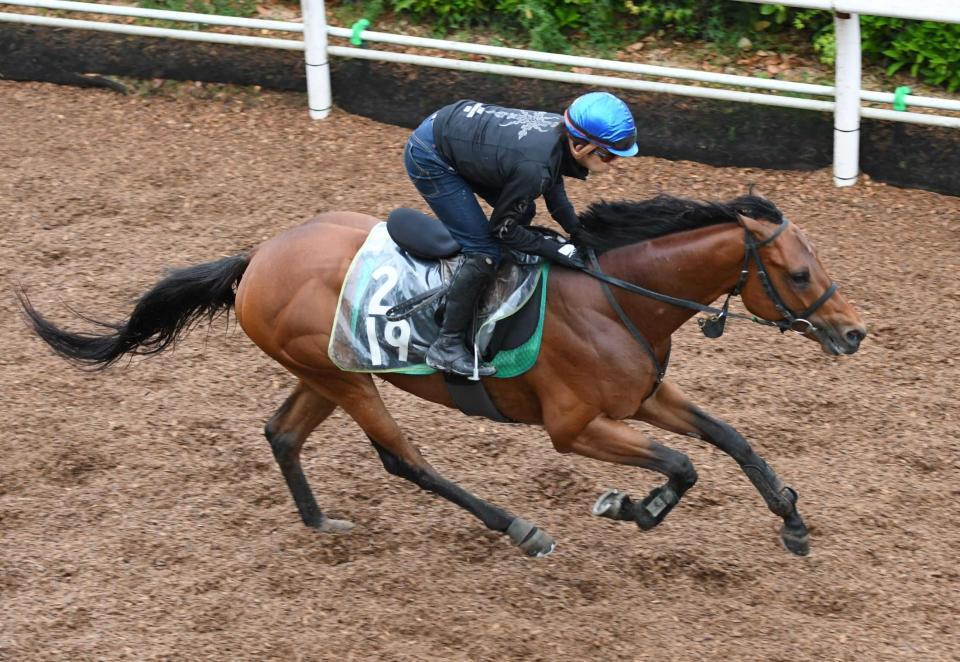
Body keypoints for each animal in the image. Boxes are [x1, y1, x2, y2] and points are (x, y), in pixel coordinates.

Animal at [18, 193, 868, 560]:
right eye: (797, 274)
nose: (853, 331)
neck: (616, 296)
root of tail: (256, 259)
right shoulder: (573, 428)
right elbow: (684, 465)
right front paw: (634, 508)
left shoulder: (646, 394)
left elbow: (730, 438)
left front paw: (792, 521)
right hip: (349, 381)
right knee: (405, 460)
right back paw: (518, 528)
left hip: (326, 370)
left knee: (281, 432)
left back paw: (319, 521)